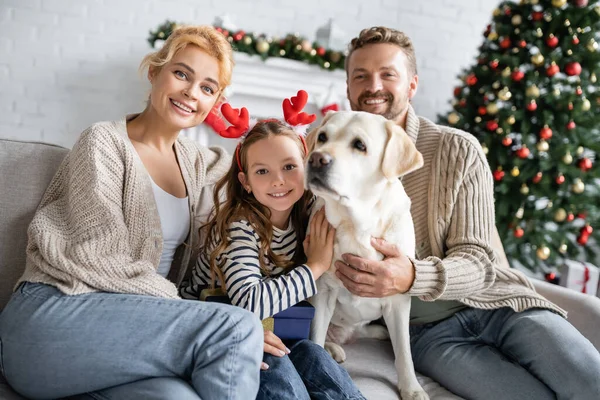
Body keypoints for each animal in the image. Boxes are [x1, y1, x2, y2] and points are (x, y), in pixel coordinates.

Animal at [308, 110, 428, 400]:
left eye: (359, 145)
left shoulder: (398, 298)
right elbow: (314, 335)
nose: (316, 158)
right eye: (322, 137)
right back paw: (333, 348)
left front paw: (412, 388)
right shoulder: (324, 291)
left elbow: (404, 352)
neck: (356, 224)